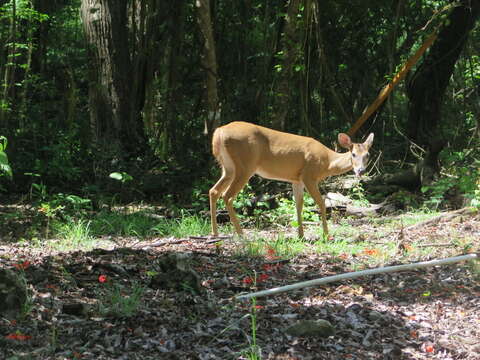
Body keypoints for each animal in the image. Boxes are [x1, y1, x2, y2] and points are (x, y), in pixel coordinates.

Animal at [208, 121, 374, 239]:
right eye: (353, 154)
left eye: (367, 155)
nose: (360, 171)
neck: (327, 162)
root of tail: (219, 132)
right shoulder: (309, 175)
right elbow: (321, 202)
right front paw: (326, 235)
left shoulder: (296, 179)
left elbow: (299, 204)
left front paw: (300, 235)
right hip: (245, 165)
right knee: (227, 196)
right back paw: (241, 234)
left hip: (228, 167)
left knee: (214, 191)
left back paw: (215, 233)